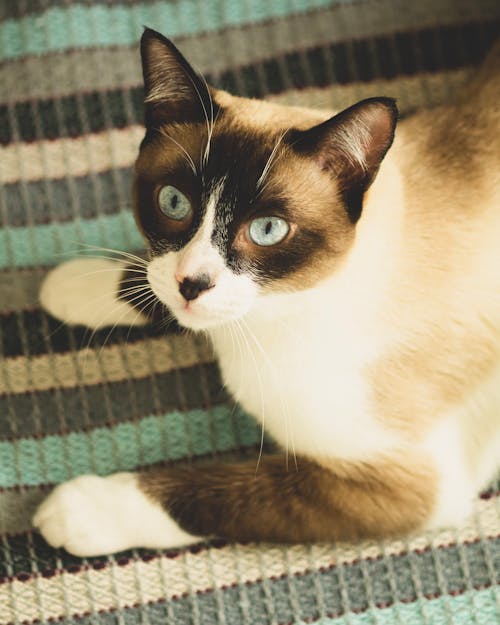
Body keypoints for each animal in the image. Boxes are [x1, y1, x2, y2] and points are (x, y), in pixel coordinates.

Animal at [33, 29, 498, 556]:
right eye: (174, 203)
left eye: (268, 230)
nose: (192, 284)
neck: (262, 321)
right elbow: (147, 280)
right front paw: (72, 284)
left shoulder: (406, 486)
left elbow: (218, 494)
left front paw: (80, 511)